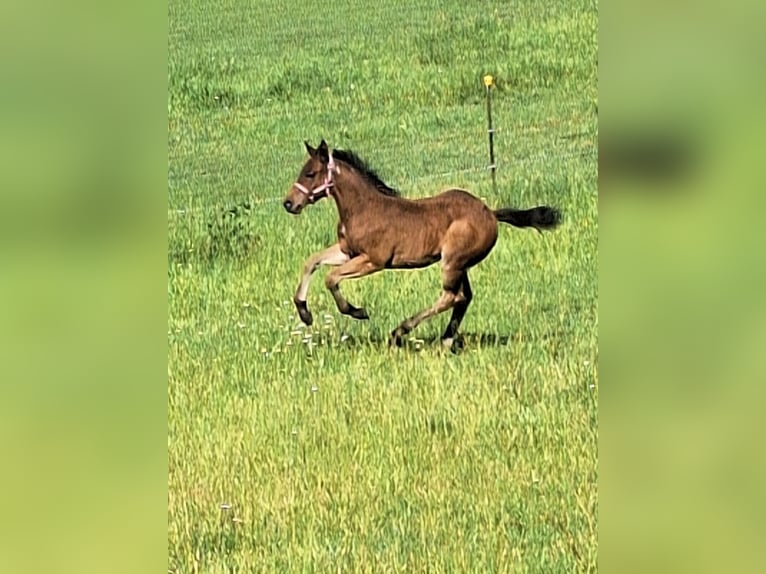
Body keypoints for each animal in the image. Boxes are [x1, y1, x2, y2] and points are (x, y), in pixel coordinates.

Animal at [283, 140, 561, 348]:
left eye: (309, 173)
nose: (289, 203)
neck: (363, 208)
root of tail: (491, 213)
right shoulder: (346, 251)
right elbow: (311, 262)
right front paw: (304, 312)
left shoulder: (373, 260)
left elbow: (331, 278)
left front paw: (356, 311)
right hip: (461, 265)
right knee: (464, 297)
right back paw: (446, 339)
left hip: (452, 261)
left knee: (452, 296)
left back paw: (400, 332)